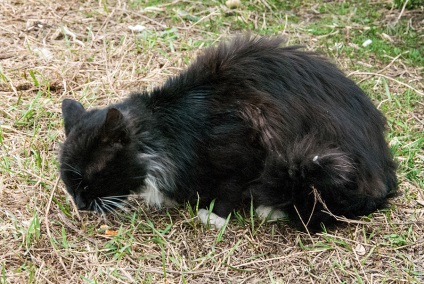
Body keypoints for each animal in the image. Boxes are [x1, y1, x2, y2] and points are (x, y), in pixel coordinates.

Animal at [59, 35, 398, 231]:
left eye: (91, 177)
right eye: (69, 183)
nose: (80, 203)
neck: (169, 129)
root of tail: (384, 176)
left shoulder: (245, 145)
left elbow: (230, 187)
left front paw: (214, 216)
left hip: (309, 156)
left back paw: (270, 209)